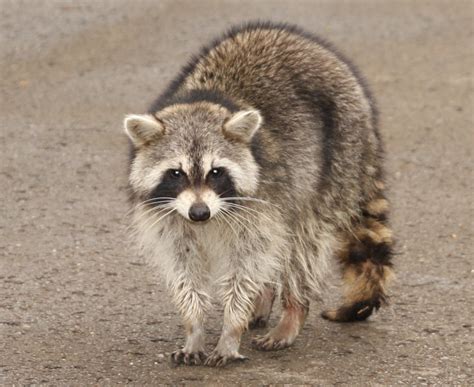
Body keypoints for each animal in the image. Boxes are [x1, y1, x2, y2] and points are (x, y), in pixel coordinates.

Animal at [124, 21, 394, 366]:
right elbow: (186, 269)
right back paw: (264, 297)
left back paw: (293, 310)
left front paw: (231, 328)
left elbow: (247, 264)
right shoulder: (170, 216)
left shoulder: (262, 198)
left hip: (336, 160)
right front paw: (194, 326)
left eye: (216, 172)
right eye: (176, 173)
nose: (200, 214)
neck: (203, 104)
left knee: (301, 245)